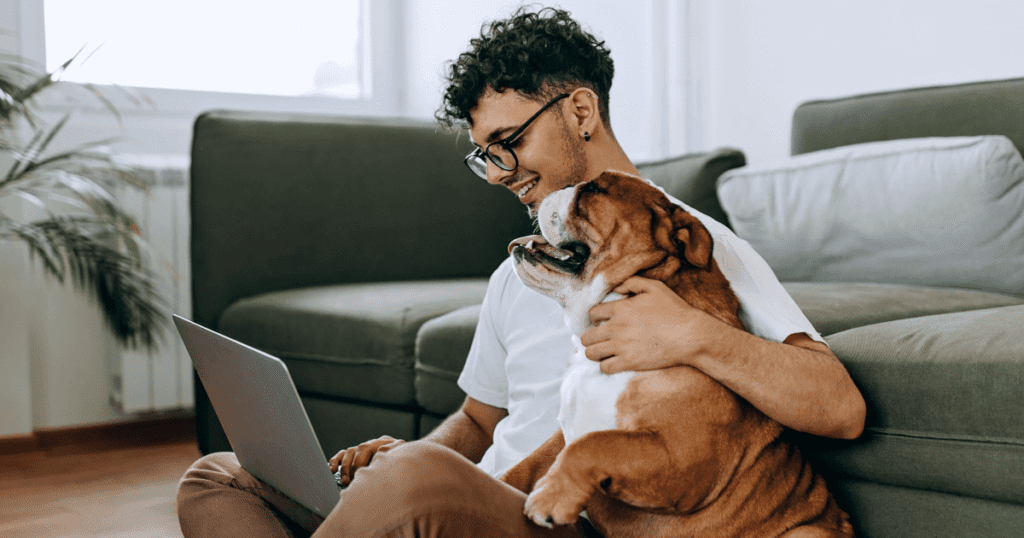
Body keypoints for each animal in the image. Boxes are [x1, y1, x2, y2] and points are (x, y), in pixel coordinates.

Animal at [501, 172, 847, 536]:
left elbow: (594, 444)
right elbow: (528, 465)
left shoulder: (680, 457)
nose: (560, 187)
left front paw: (550, 497)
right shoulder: (562, 435)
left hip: (806, 530)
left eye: (595, 189)